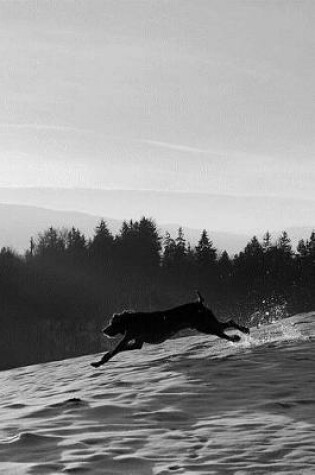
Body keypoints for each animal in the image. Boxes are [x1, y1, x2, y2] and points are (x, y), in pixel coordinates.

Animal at [90, 292, 249, 370]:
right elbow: (126, 348)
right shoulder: (137, 342)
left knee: (222, 333)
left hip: (204, 326)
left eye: (112, 323)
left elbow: (114, 351)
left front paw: (98, 362)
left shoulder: (129, 337)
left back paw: (235, 338)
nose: (104, 330)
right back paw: (244, 331)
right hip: (207, 323)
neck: (131, 320)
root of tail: (199, 303)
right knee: (229, 323)